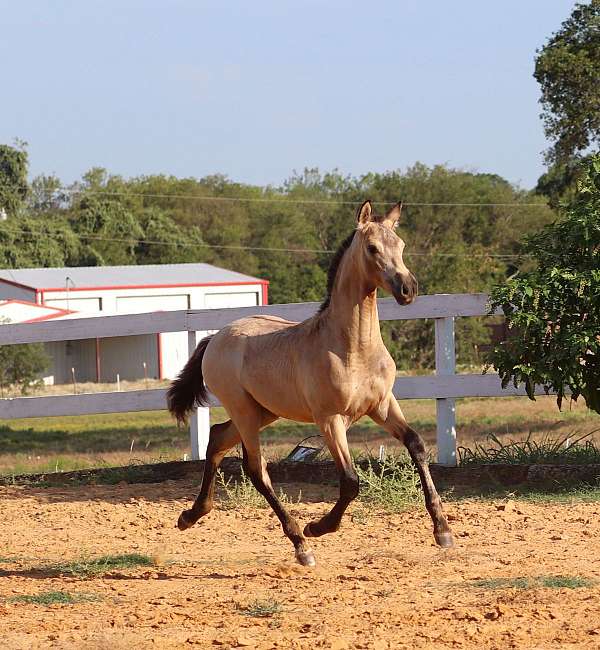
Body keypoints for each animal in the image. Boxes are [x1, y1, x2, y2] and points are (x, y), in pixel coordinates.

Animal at [166, 200, 452, 564]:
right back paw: (301, 544)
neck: (351, 348)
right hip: (244, 410)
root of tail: (215, 337)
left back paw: (191, 515)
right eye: (372, 248)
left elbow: (417, 446)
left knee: (217, 438)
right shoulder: (330, 419)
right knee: (256, 469)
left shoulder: (382, 405)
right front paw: (318, 527)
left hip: (264, 411)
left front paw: (442, 530)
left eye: (400, 245)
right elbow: (350, 481)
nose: (408, 289)